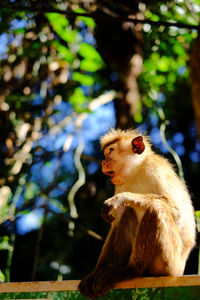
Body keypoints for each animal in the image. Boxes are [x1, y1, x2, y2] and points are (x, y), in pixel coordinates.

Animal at [78, 127, 195, 298]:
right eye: (106, 153)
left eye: (110, 151)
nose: (103, 162)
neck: (137, 171)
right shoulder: (120, 184)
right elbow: (117, 221)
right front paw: (94, 273)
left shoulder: (156, 170)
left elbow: (177, 210)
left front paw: (121, 198)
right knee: (128, 213)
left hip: (171, 264)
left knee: (156, 207)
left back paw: (131, 271)